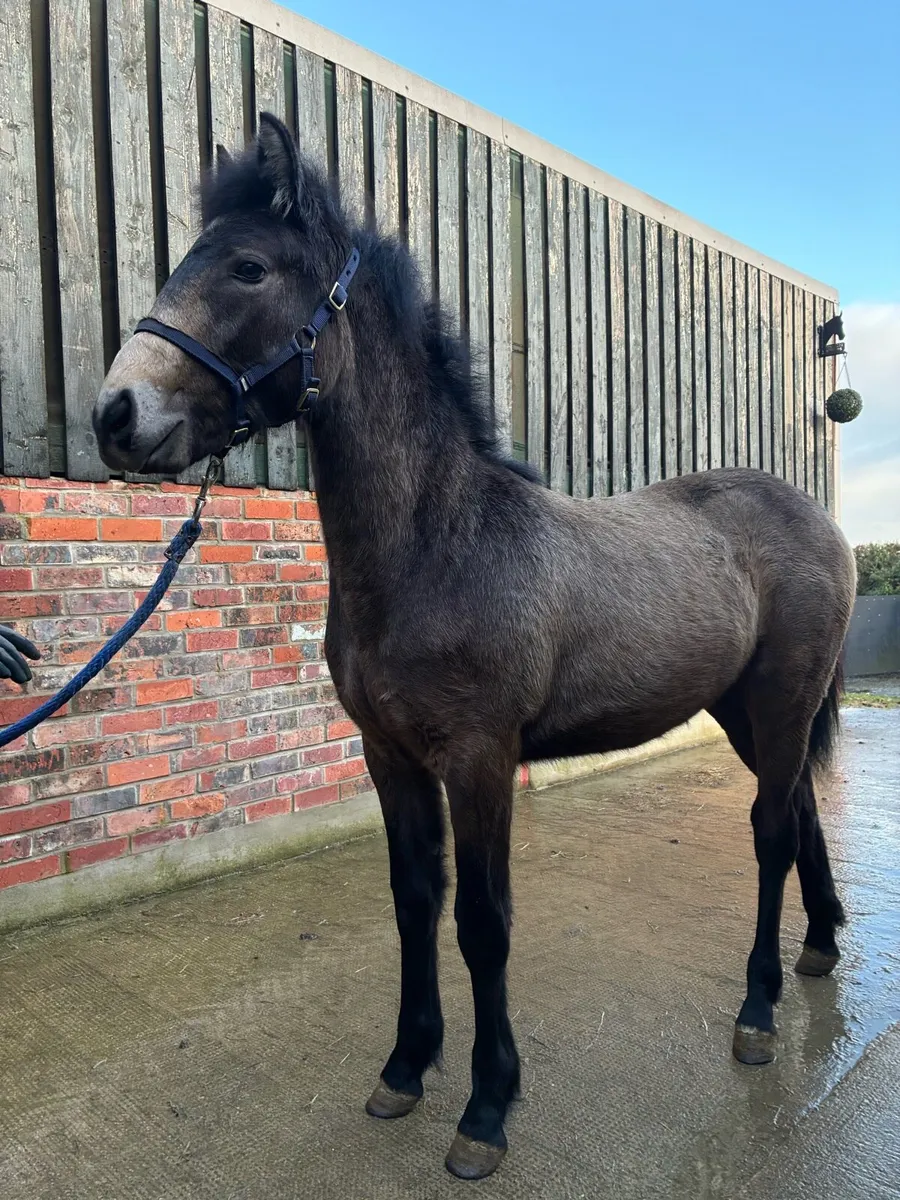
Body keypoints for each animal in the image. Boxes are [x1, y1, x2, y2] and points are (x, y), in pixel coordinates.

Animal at [92, 113, 856, 1180]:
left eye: (247, 267)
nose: (117, 415)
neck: (436, 543)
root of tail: (814, 518)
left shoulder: (481, 758)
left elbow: (483, 923)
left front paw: (487, 1108)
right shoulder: (390, 756)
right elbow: (416, 901)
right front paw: (406, 1068)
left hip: (782, 699)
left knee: (772, 832)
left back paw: (756, 1011)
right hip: (747, 709)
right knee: (800, 816)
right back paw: (818, 950)